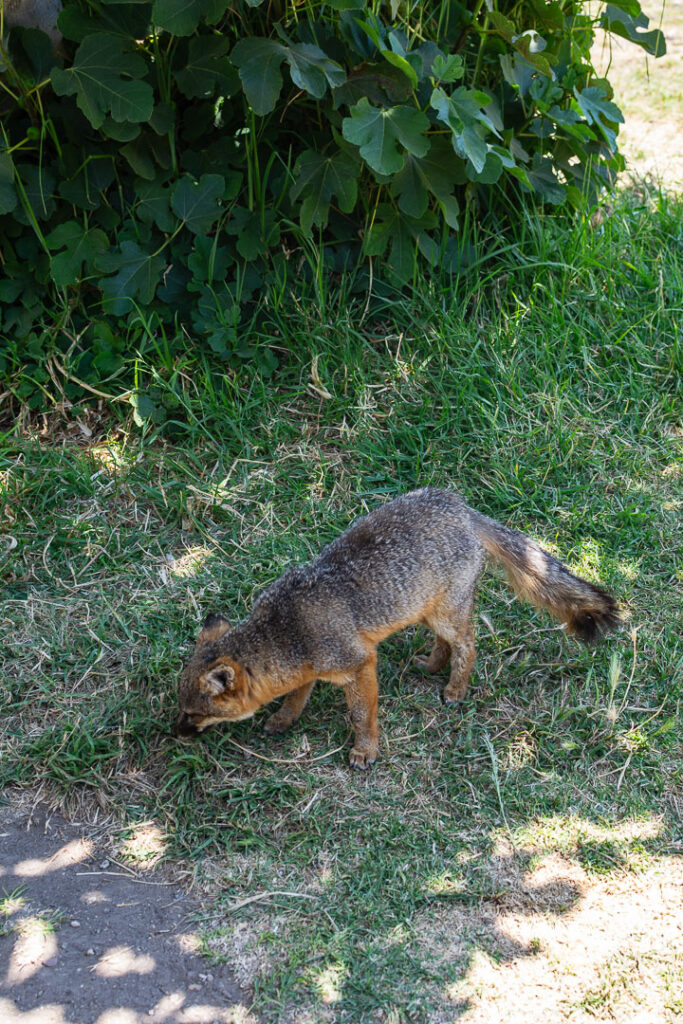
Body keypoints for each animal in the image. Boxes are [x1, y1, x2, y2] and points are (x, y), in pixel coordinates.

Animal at [175, 487, 620, 768]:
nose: (174, 733)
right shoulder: (310, 666)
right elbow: (295, 696)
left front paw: (365, 750)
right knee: (445, 643)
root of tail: (459, 505)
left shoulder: (359, 664)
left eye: (193, 713)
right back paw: (431, 667)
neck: (288, 627)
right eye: (182, 710)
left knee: (468, 644)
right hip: (423, 610)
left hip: (446, 615)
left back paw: (455, 688)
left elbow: (362, 713)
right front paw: (284, 720)